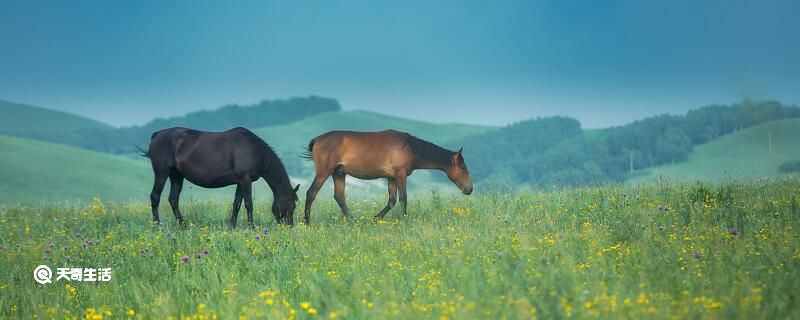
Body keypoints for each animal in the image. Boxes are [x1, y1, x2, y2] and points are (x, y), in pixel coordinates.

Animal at [142, 126, 298, 226]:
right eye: (292, 205)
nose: (289, 226)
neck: (256, 151)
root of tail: (156, 135)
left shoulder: (240, 182)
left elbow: (236, 204)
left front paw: (232, 226)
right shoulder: (246, 180)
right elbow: (249, 204)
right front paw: (251, 226)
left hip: (176, 176)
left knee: (173, 199)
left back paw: (183, 225)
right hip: (161, 173)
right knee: (155, 196)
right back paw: (157, 225)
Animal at [304, 129, 472, 224]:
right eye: (463, 167)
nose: (469, 189)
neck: (409, 147)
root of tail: (317, 139)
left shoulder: (391, 178)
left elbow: (391, 200)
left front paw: (375, 219)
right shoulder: (401, 175)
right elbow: (403, 199)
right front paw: (404, 220)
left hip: (338, 173)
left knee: (339, 197)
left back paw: (354, 221)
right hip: (324, 173)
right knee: (311, 193)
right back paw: (306, 222)